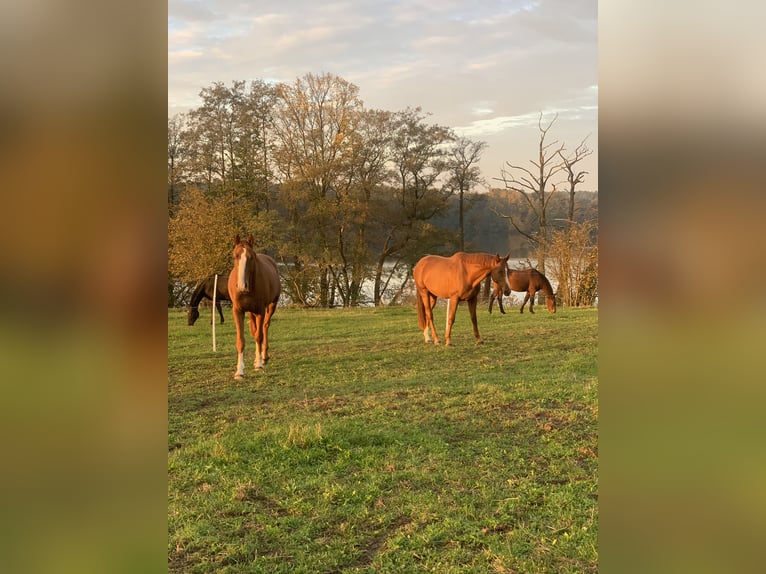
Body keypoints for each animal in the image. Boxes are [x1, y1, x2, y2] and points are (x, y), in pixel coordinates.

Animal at [228, 234, 282, 378]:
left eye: (251, 257)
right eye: (234, 256)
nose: (242, 286)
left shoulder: (260, 311)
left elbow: (259, 336)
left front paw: (259, 364)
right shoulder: (238, 311)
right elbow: (241, 340)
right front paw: (239, 371)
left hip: (271, 306)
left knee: (265, 327)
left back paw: (264, 357)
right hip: (250, 312)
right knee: (255, 329)